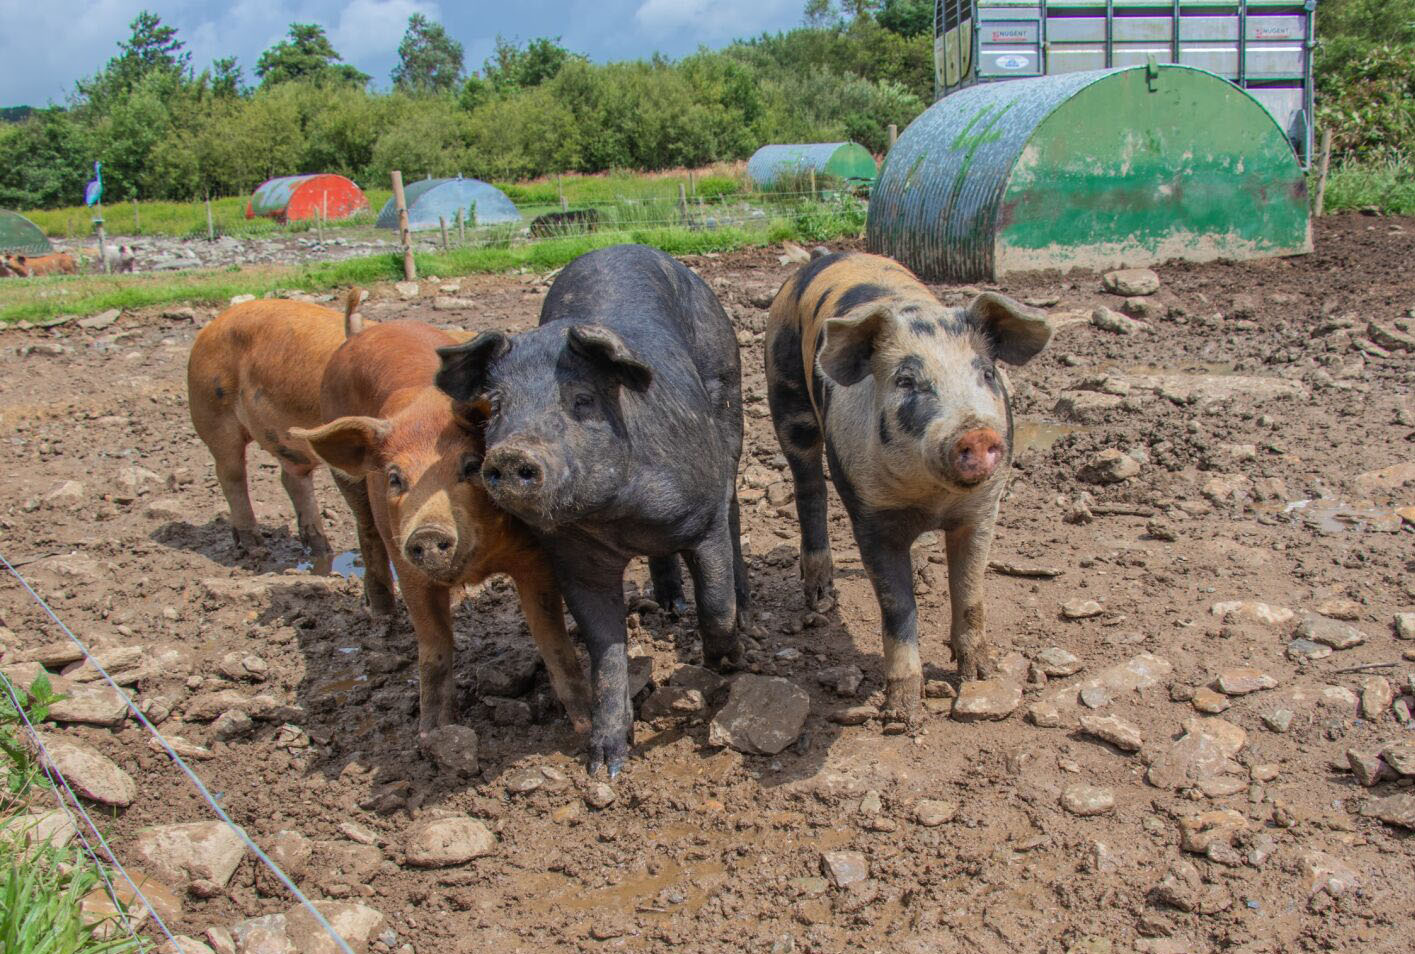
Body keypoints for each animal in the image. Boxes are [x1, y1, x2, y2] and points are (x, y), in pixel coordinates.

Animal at [187, 288, 364, 563]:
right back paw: (255, 549)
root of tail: (212, 325)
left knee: (291, 479)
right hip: (211, 414)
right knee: (231, 475)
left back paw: (321, 551)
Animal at [292, 321, 593, 736]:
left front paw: (584, 723)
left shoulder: (535, 555)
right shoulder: (409, 567)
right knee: (366, 533)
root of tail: (365, 332)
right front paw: (433, 734)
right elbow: (433, 649)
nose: (427, 532)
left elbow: (552, 637)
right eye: (395, 478)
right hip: (349, 483)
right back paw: (381, 614)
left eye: (470, 466)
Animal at [435, 244, 748, 776]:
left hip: (727, 382)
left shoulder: (702, 519)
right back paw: (670, 605)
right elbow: (604, 651)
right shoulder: (574, 560)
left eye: (581, 400)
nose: (511, 454)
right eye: (497, 406)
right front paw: (605, 764)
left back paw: (740, 606)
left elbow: (716, 603)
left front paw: (726, 662)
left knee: (733, 507)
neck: (617, 516)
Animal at [764, 251, 1052, 723]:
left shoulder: (982, 509)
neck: (932, 498)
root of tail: (835, 255)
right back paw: (820, 598)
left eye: (986, 373)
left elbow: (970, 591)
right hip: (785, 391)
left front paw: (981, 673)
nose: (975, 432)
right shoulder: (869, 515)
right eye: (905, 381)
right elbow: (897, 607)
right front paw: (902, 712)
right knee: (810, 488)